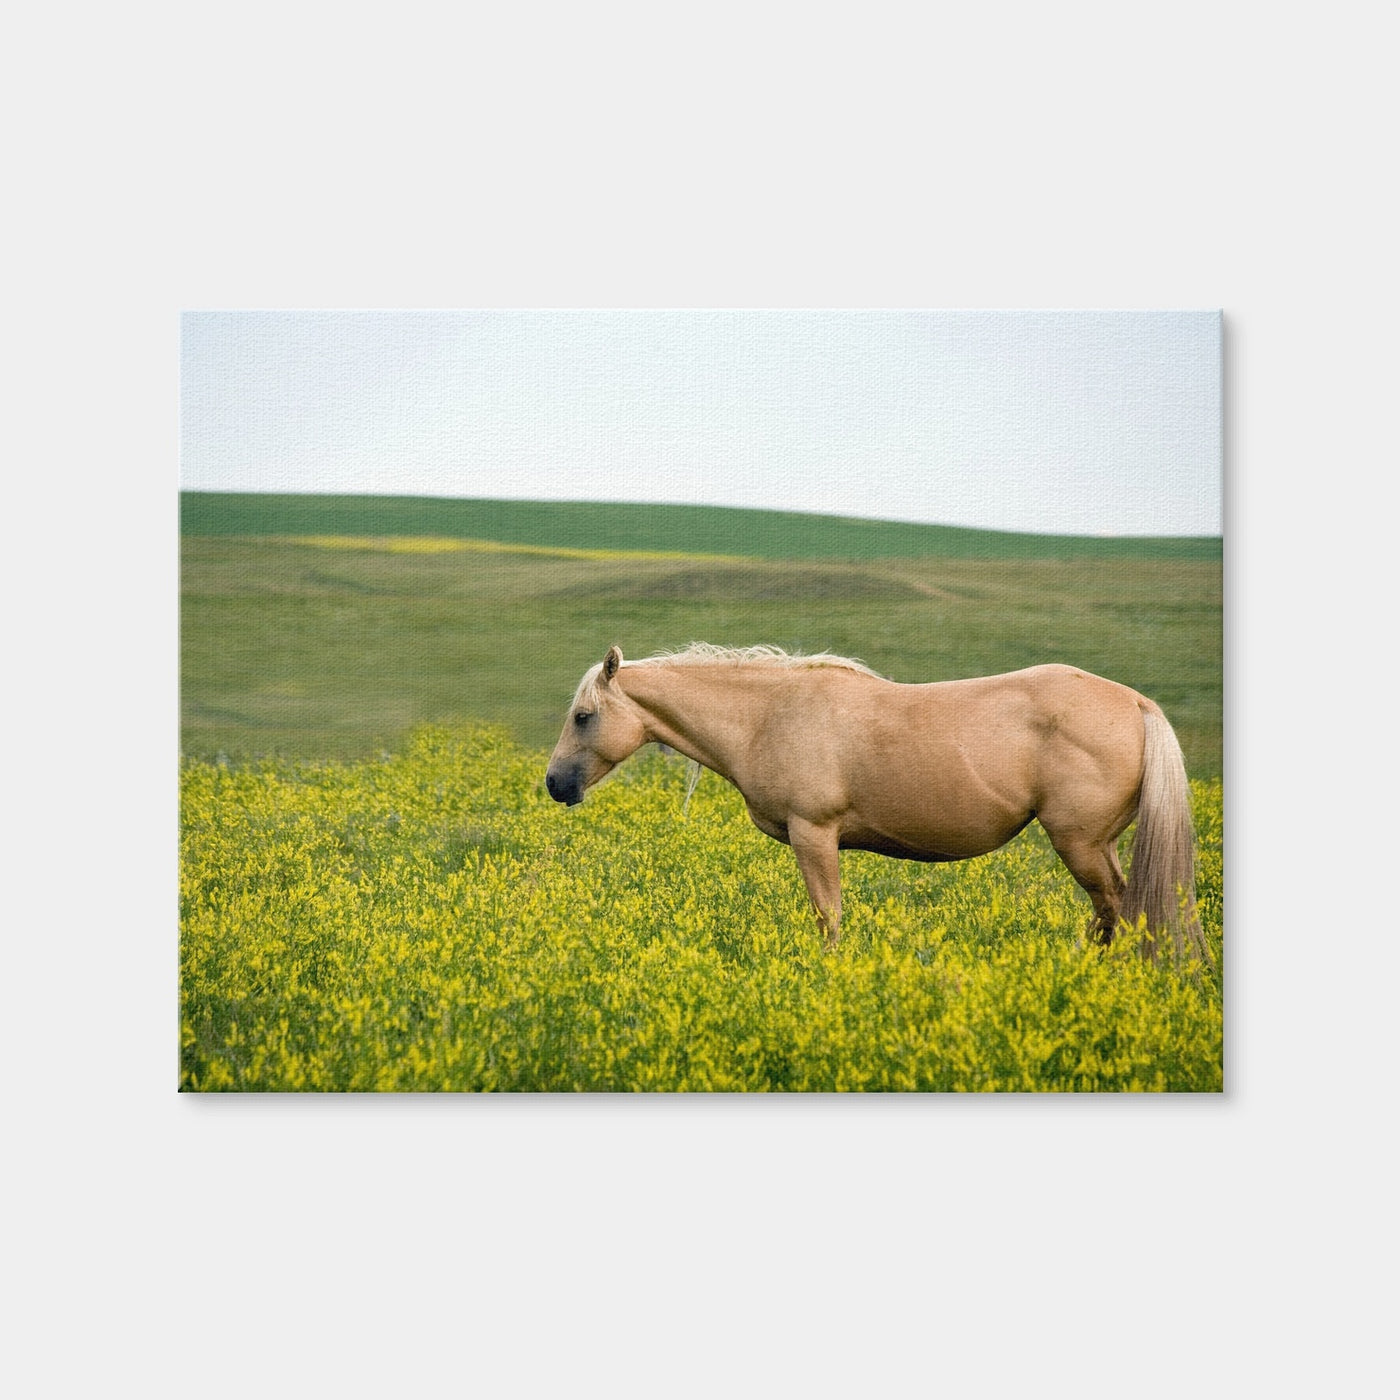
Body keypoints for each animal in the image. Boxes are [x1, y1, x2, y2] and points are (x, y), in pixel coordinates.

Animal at [545, 643, 1205, 965]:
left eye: (583, 717)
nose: (555, 784)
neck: (767, 714)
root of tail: (1136, 703)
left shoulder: (814, 835)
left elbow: (828, 918)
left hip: (1080, 844)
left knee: (1116, 907)